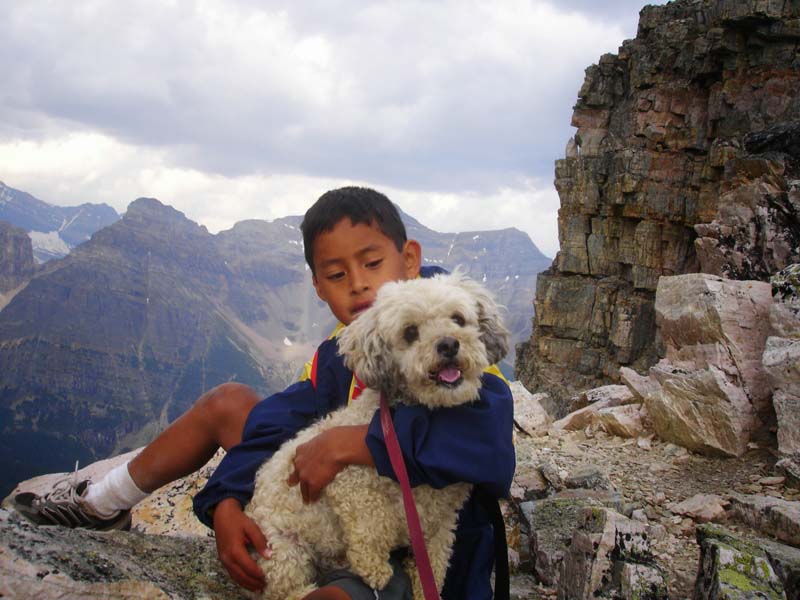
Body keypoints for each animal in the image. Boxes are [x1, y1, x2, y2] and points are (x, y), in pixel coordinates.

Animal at [245, 274, 506, 600]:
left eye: (458, 318)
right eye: (410, 332)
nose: (448, 344)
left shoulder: (441, 520)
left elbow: (435, 559)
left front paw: (425, 587)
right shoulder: (348, 482)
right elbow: (372, 523)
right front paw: (375, 569)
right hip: (282, 549)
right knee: (285, 591)